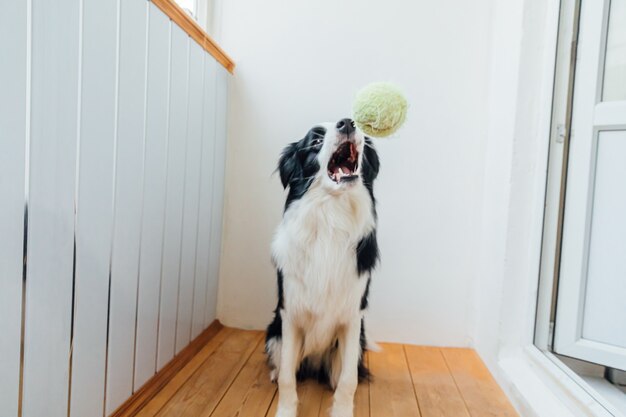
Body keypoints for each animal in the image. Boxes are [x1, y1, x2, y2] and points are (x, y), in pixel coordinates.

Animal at [264, 118, 378, 416]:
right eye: (315, 141)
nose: (347, 122)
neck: (331, 216)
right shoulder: (290, 314)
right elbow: (287, 377)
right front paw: (285, 411)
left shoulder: (352, 318)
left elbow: (349, 380)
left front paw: (342, 411)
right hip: (274, 331)